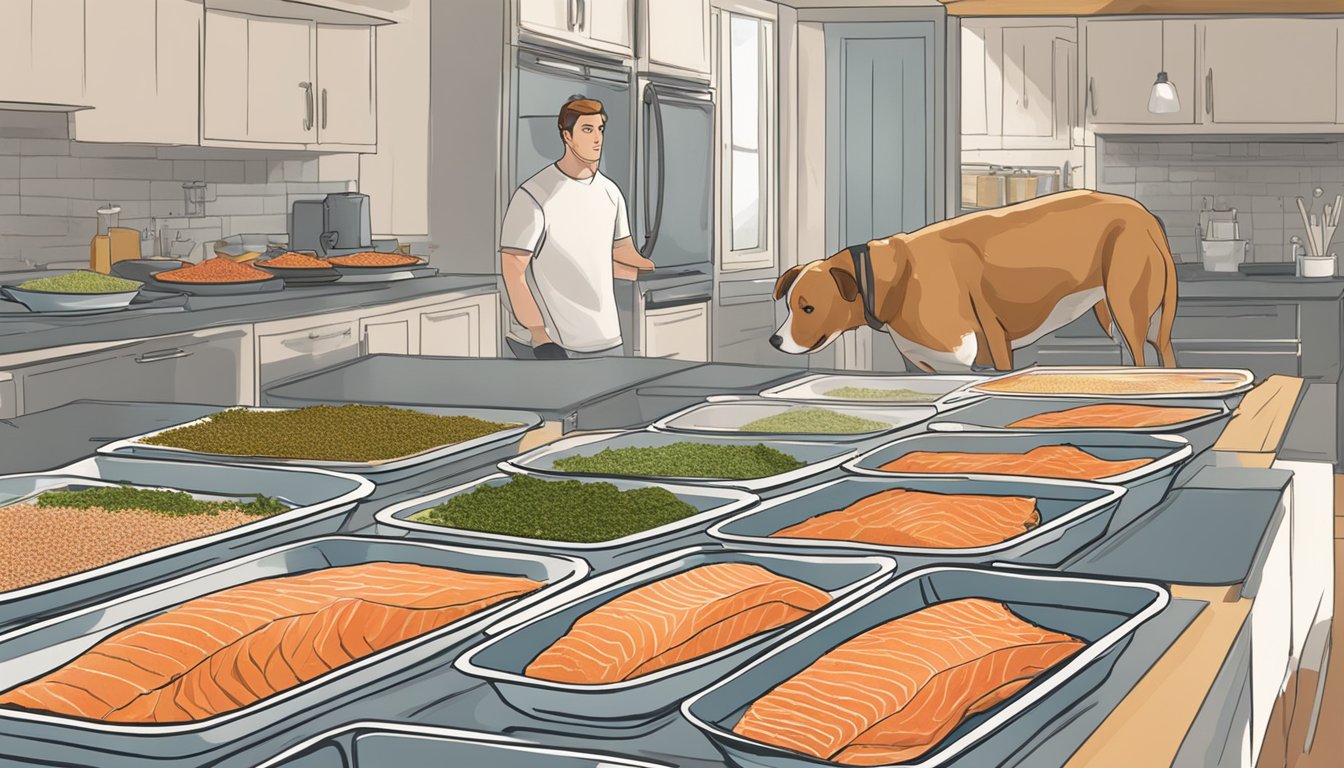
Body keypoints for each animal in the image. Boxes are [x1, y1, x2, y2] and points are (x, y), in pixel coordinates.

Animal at [768, 190, 1177, 373]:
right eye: (787, 305)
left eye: (808, 308)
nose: (774, 341)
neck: (894, 280)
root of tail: (1146, 216)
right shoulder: (922, 365)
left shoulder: (992, 347)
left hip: (1129, 312)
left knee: (1143, 359)